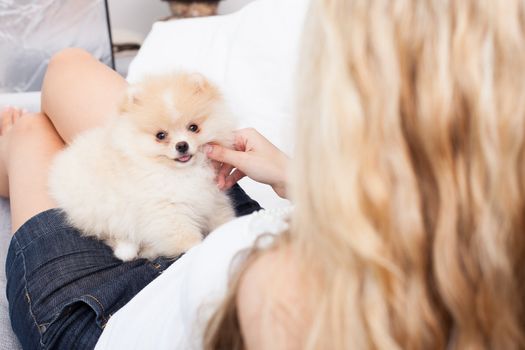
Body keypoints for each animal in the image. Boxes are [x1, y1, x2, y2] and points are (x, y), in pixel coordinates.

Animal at [48, 72, 236, 262]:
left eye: (193, 127)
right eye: (160, 136)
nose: (182, 145)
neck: (182, 172)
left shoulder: (212, 197)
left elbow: (220, 217)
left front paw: (227, 229)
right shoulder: (165, 209)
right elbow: (183, 236)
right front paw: (196, 248)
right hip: (96, 209)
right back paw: (126, 249)